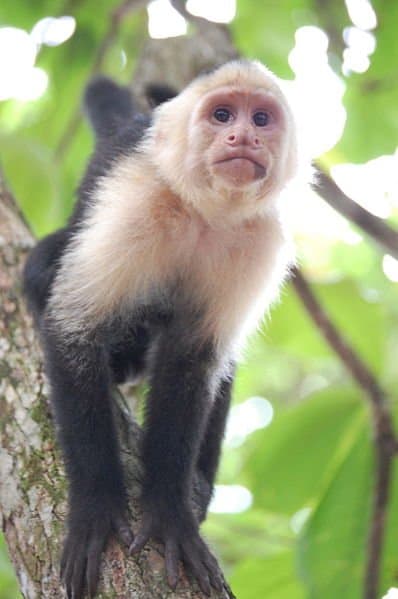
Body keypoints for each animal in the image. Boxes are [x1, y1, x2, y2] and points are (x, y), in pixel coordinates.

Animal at [22, 62, 298, 599]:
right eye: (222, 115)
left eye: (261, 118)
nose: (243, 136)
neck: (205, 212)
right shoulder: (135, 201)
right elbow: (72, 328)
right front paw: (97, 508)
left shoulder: (259, 241)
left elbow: (193, 361)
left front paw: (171, 512)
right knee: (46, 270)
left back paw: (198, 485)